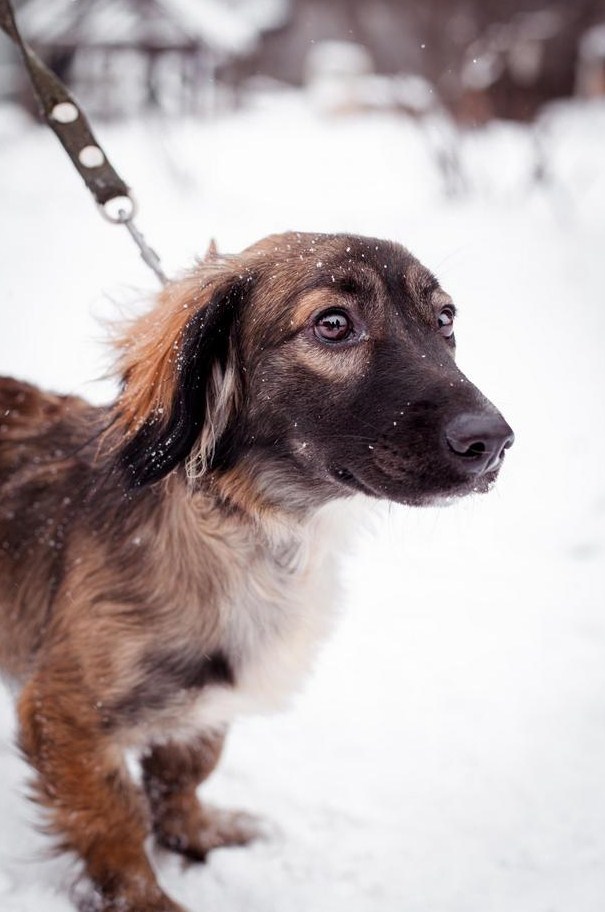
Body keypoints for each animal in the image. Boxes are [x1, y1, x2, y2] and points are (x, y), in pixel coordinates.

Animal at [0, 233, 510, 912]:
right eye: (333, 324)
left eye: (445, 319)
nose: (495, 441)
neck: (254, 537)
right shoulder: (66, 715)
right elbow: (114, 822)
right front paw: (146, 898)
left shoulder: (205, 704)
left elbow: (184, 769)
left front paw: (196, 832)